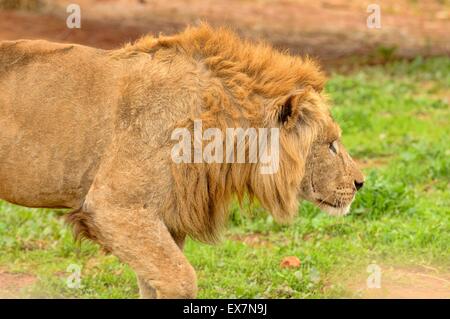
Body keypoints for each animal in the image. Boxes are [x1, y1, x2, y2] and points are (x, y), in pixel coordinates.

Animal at [0, 23, 364, 298]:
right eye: (331, 145)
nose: (360, 183)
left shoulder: (163, 218)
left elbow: (154, 282)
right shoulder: (114, 208)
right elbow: (182, 278)